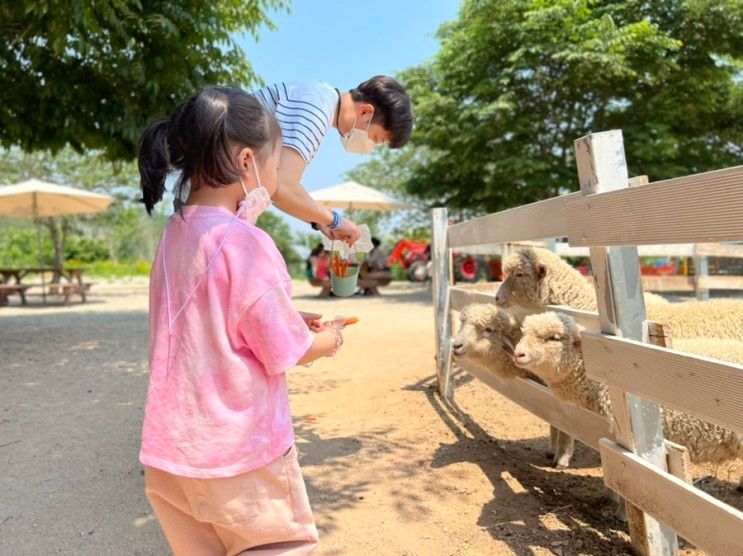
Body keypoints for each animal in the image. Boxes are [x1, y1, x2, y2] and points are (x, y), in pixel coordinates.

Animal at [454, 304, 576, 470]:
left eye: (488, 329)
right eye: (462, 323)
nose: (456, 345)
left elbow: (565, 425)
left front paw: (562, 458)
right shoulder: (549, 394)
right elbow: (554, 421)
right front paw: (552, 450)